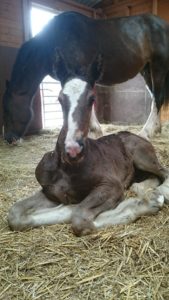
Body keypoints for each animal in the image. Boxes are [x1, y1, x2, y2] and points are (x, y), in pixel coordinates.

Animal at [2, 11, 169, 143]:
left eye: (7, 109)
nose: (9, 139)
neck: (54, 40)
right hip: (147, 70)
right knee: (155, 98)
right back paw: (156, 130)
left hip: (158, 67)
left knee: (158, 98)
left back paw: (145, 133)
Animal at [7, 76, 169, 236]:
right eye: (60, 98)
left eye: (92, 99)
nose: (73, 148)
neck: (67, 169)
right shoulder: (51, 192)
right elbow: (15, 214)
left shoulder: (111, 184)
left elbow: (80, 218)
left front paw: (147, 203)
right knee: (152, 178)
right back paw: (144, 188)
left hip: (141, 157)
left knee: (164, 172)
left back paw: (161, 192)